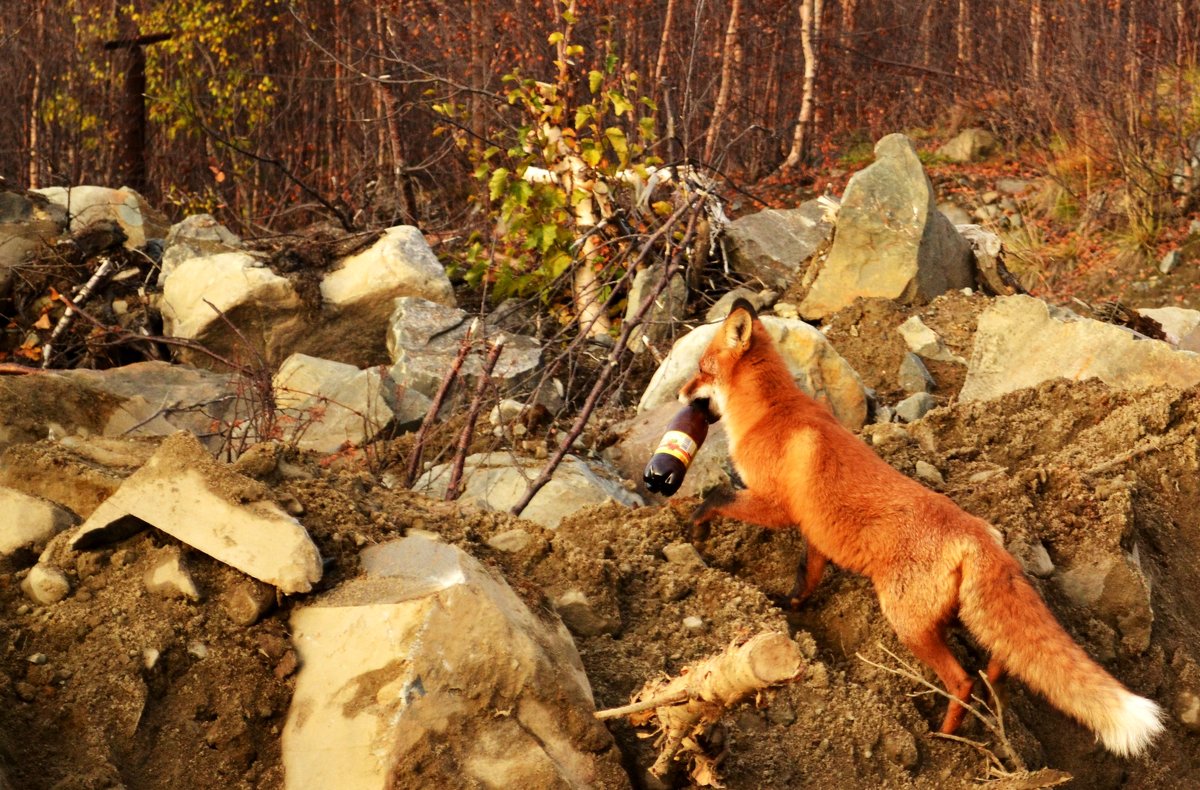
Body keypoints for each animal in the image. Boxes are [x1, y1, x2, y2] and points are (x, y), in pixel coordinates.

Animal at [681, 298, 1166, 753]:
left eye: (701, 369)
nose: (683, 395)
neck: (770, 414)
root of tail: (978, 535)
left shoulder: (775, 505)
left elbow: (716, 498)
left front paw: (695, 530)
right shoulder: (815, 531)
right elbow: (806, 577)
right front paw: (791, 607)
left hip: (907, 624)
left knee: (962, 679)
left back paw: (946, 738)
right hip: (954, 617)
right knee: (1001, 660)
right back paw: (991, 694)